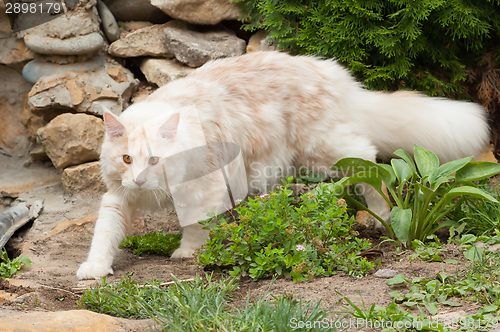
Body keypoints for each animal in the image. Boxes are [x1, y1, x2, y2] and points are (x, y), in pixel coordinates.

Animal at [76, 51, 490, 280]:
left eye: (156, 160)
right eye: (127, 159)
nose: (141, 180)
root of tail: (330, 71)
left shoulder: (201, 185)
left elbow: (194, 226)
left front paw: (188, 252)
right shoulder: (118, 196)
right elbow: (104, 235)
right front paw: (95, 268)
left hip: (323, 148)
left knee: (370, 161)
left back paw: (381, 214)